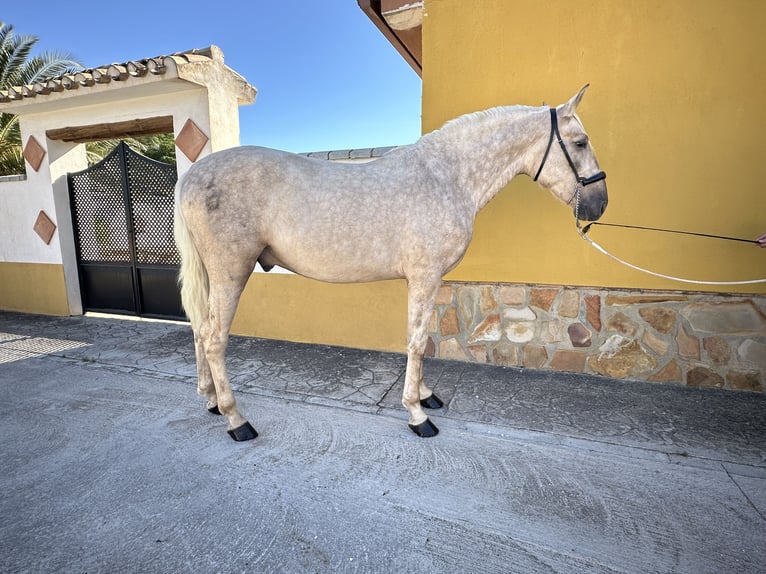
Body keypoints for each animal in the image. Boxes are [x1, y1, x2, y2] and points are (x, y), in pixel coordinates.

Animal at [176, 85, 612, 444]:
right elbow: (417, 341)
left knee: (200, 331)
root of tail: (193, 175)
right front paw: (418, 414)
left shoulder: (425, 280)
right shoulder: (424, 276)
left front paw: (425, 396)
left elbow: (421, 336)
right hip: (231, 272)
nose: (600, 204)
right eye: (580, 142)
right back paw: (236, 420)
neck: (447, 178)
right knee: (214, 338)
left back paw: (211, 401)